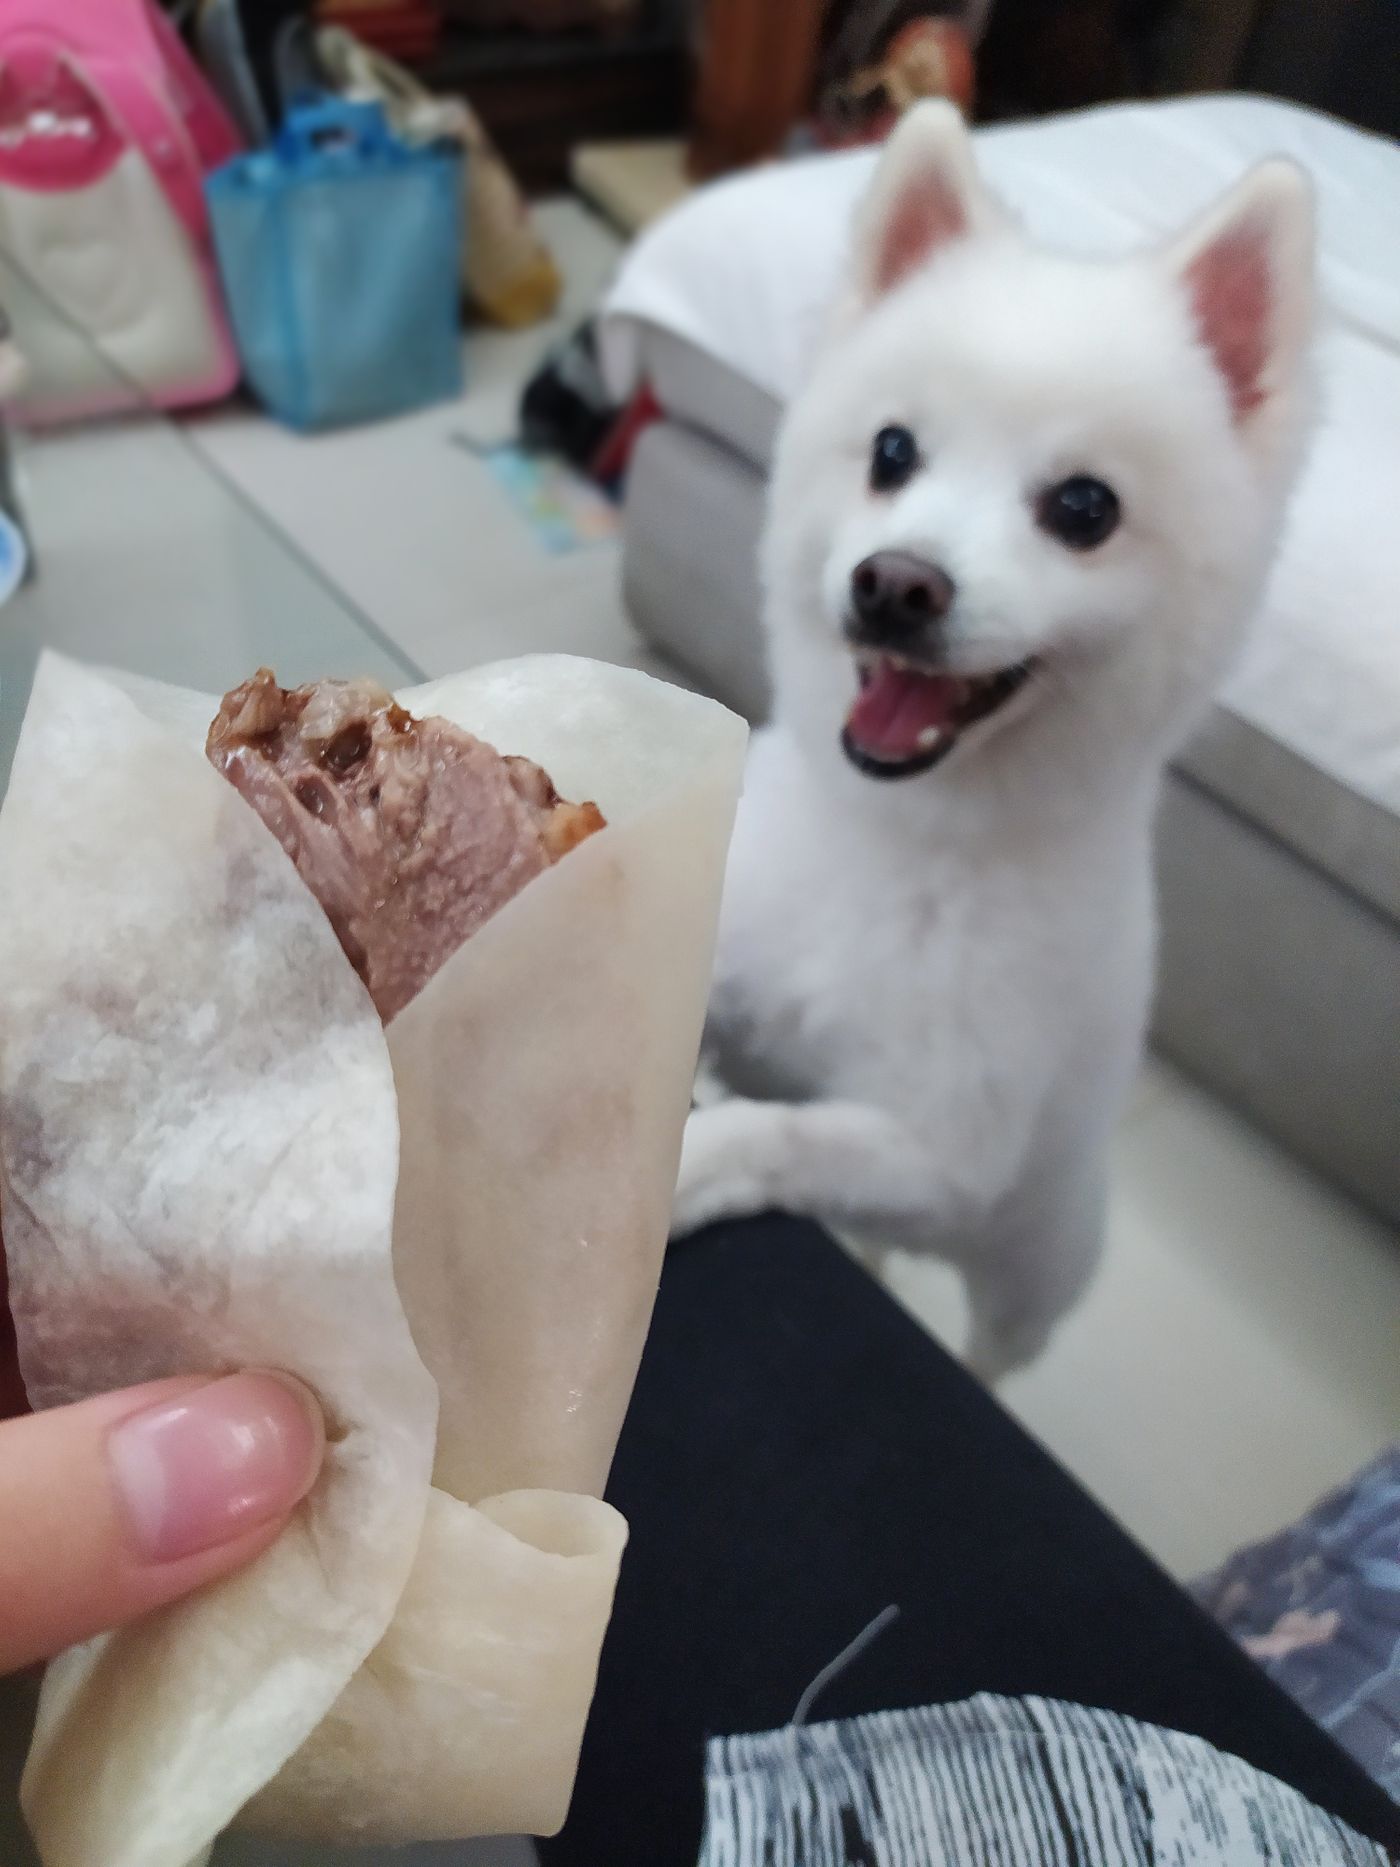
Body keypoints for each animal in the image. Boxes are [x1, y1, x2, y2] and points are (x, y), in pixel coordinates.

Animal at [673, 101, 1315, 1380]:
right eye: (889, 453)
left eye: (1083, 509)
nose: (894, 583)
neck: (900, 834)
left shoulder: (941, 1155)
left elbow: (783, 1135)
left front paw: (690, 1163)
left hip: (1033, 1270)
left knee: (994, 1340)